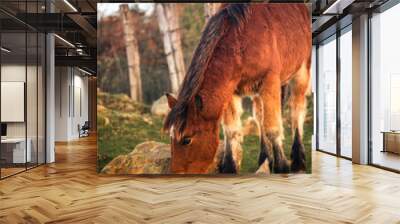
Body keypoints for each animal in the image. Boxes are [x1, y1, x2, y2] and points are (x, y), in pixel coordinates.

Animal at [164, 3, 310, 175]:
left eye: (186, 140)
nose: (174, 174)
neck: (241, 42)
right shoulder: (231, 92)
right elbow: (231, 130)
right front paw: (229, 166)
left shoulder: (270, 82)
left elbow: (272, 128)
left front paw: (282, 166)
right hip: (257, 93)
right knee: (259, 117)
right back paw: (265, 159)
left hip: (301, 72)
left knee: (296, 109)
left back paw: (298, 160)